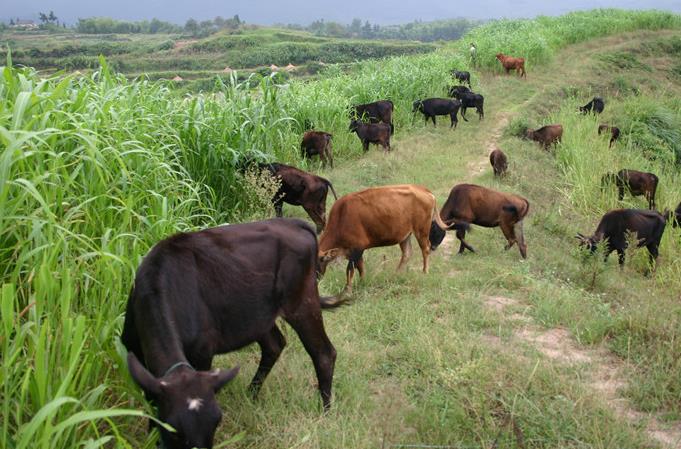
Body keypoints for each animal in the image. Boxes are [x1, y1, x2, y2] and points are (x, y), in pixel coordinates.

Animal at [123, 216, 338, 444]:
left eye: (217, 422)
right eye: (174, 430)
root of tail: (294, 222)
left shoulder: (202, 353)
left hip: (302, 303)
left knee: (324, 352)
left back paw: (325, 411)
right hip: (258, 315)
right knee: (274, 345)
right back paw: (251, 394)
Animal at [316, 184, 460, 302]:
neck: (342, 216)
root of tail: (423, 189)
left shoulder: (356, 249)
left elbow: (350, 270)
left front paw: (348, 290)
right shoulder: (356, 251)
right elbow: (360, 267)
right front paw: (362, 282)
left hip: (421, 230)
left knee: (425, 249)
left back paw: (424, 271)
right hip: (405, 235)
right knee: (407, 253)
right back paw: (396, 274)